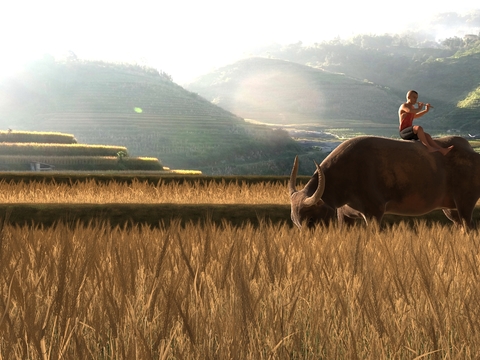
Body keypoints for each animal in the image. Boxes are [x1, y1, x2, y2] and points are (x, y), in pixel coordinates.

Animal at [288, 135, 480, 228]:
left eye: (311, 219)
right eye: (295, 222)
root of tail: (473, 153)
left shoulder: (374, 213)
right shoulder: (344, 215)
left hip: (464, 203)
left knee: (468, 227)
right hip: (450, 208)